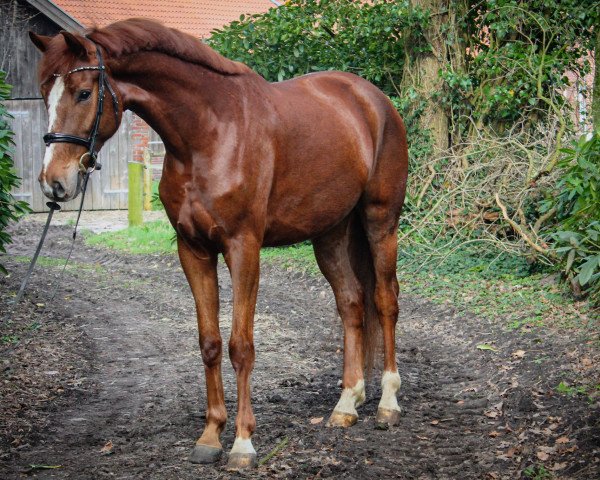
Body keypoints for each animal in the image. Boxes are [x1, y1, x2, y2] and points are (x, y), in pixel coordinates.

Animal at [30, 18, 410, 468]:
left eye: (84, 93)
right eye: (44, 94)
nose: (54, 182)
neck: (208, 135)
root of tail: (372, 99)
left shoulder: (242, 248)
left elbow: (240, 346)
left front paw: (243, 444)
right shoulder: (193, 250)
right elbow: (209, 343)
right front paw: (211, 436)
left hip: (380, 221)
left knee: (385, 301)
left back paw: (387, 404)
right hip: (330, 233)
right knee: (352, 304)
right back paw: (347, 404)